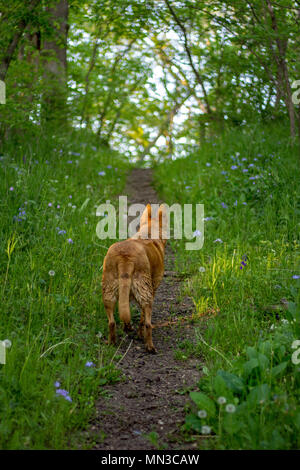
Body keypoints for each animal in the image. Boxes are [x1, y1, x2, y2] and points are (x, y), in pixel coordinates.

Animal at [102, 202, 168, 352]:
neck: (148, 233)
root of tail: (125, 257)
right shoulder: (153, 288)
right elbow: (143, 319)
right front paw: (139, 334)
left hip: (109, 291)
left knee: (112, 322)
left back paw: (112, 341)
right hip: (145, 293)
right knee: (147, 323)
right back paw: (150, 347)